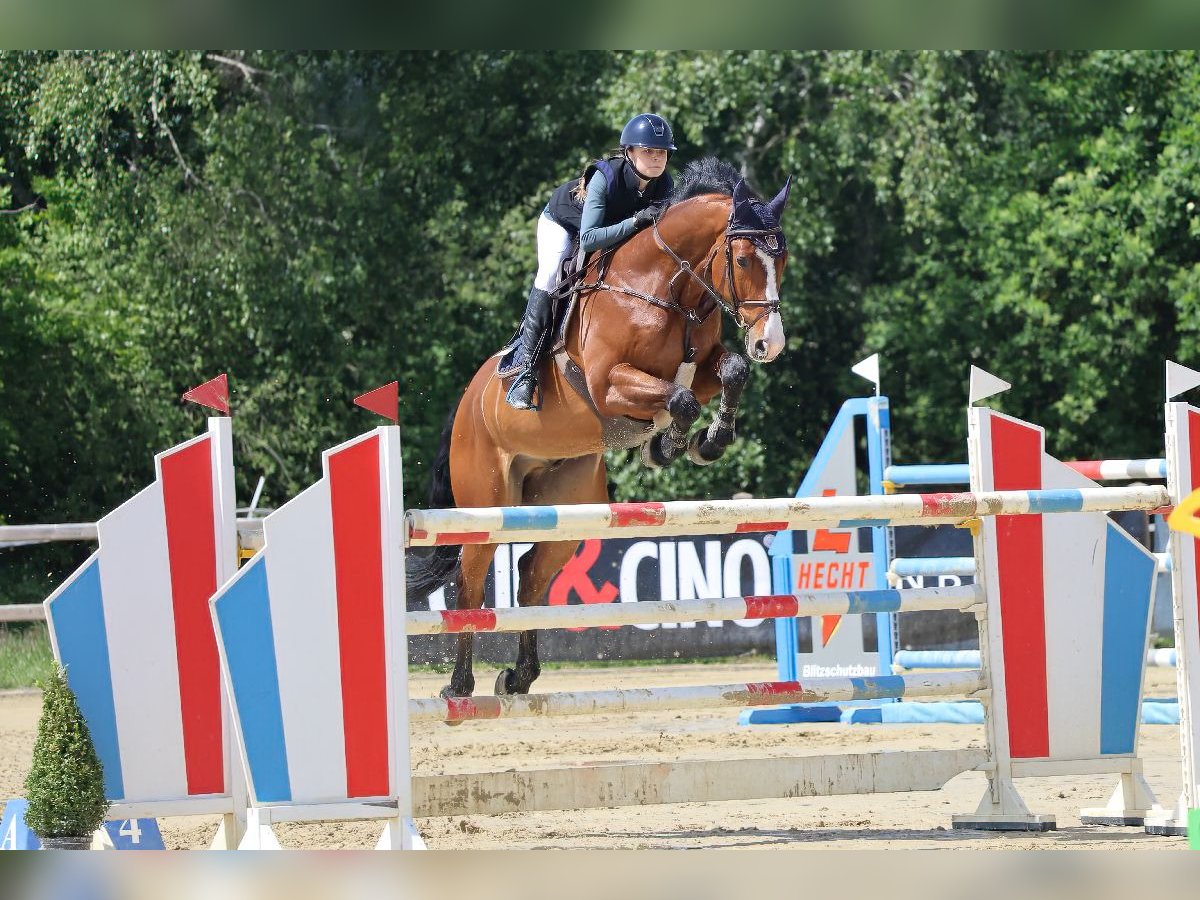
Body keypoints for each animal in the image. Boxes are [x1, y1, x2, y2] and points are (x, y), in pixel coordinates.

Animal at [408, 158, 792, 700]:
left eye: (782, 261)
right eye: (741, 261)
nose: (769, 344)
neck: (665, 289)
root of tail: (466, 403)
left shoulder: (702, 367)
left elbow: (730, 373)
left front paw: (704, 443)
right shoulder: (609, 384)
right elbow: (677, 400)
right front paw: (668, 444)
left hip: (564, 502)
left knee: (530, 577)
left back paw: (519, 676)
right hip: (485, 502)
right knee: (470, 581)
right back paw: (459, 686)